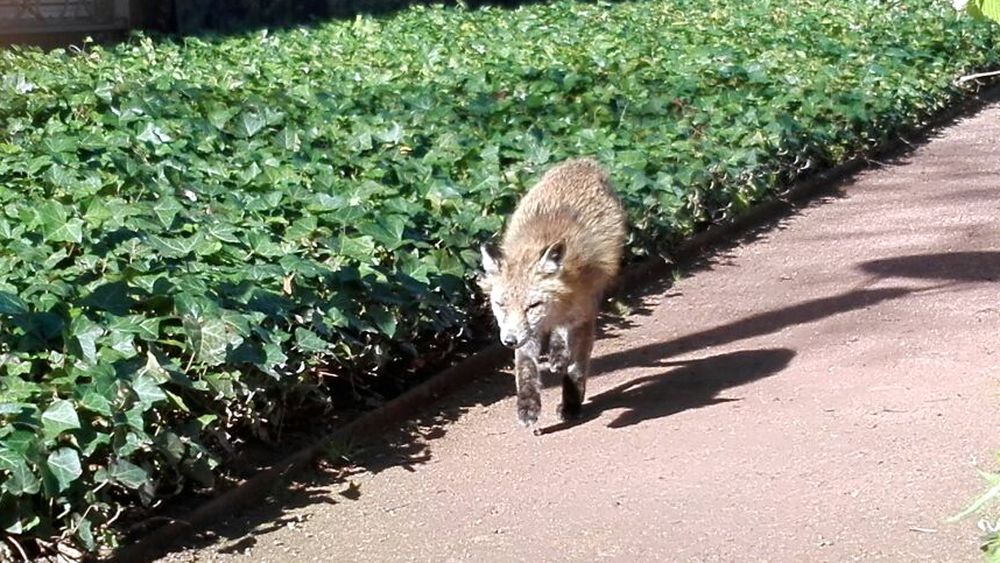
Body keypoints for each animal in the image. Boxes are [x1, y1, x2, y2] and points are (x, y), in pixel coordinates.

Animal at [478, 156, 624, 430]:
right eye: (501, 305)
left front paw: (571, 403)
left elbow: (576, 368)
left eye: (532, 305)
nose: (509, 341)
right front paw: (528, 406)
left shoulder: (583, 318)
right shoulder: (527, 332)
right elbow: (525, 369)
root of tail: (582, 162)